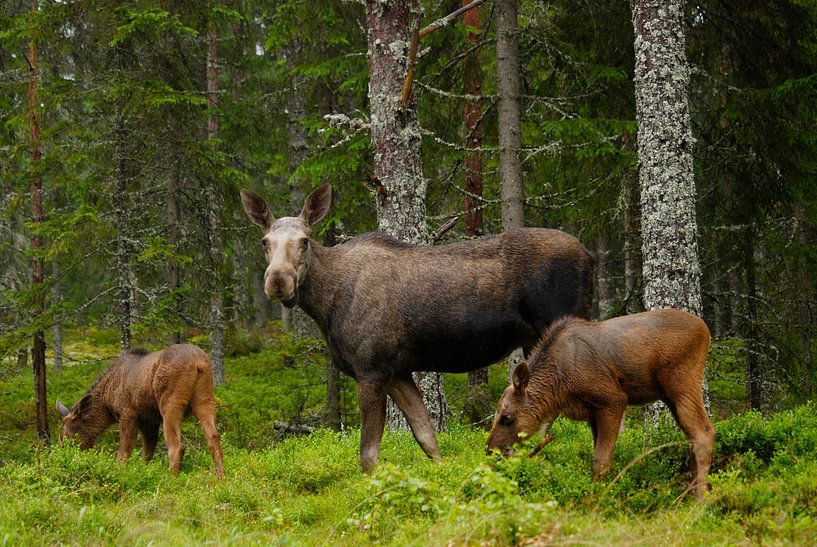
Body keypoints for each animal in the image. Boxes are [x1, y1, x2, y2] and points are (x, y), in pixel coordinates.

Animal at [242, 184, 592, 470]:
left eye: (304, 241)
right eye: (264, 241)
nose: (278, 281)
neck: (326, 305)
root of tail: (591, 256)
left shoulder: (371, 369)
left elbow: (369, 454)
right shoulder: (397, 371)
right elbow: (427, 437)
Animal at [488, 308, 716, 500]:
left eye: (507, 417)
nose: (491, 450)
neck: (558, 388)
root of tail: (706, 330)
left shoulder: (613, 400)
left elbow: (601, 459)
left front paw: (597, 499)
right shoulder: (591, 413)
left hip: (682, 384)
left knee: (704, 433)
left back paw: (700, 499)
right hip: (670, 395)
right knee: (693, 436)